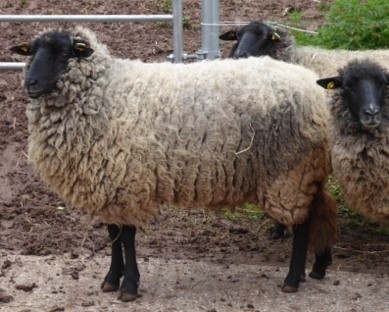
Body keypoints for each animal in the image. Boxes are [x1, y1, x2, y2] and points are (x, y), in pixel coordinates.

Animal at [11, 27, 336, 302]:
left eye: (63, 53)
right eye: (31, 52)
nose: (30, 84)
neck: (105, 92)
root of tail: (312, 85)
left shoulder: (127, 182)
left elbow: (127, 237)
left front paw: (129, 286)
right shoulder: (109, 183)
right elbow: (113, 234)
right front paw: (111, 279)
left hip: (291, 172)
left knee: (302, 223)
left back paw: (292, 279)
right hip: (303, 171)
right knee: (316, 211)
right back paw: (312, 269)